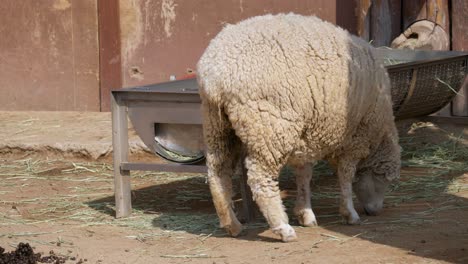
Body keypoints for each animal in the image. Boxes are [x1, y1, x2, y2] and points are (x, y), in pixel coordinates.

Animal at [197, 13, 402, 242]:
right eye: (382, 178)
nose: (376, 211)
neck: (379, 132)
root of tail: (215, 75)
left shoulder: (308, 136)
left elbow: (304, 174)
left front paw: (305, 213)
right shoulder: (354, 140)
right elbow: (345, 177)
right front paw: (349, 213)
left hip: (216, 125)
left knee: (217, 172)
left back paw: (231, 224)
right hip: (270, 127)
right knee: (260, 178)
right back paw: (282, 227)